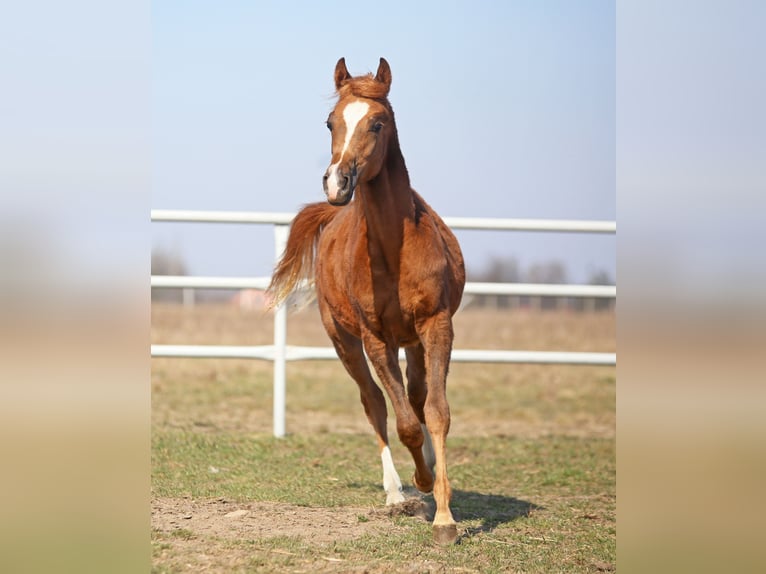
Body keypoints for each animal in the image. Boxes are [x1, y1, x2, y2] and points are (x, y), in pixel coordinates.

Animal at [267, 57, 465, 544]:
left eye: (378, 122)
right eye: (330, 122)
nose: (337, 182)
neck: (394, 248)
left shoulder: (437, 325)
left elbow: (436, 412)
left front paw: (445, 516)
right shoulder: (375, 338)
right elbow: (404, 423)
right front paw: (421, 486)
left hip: (411, 341)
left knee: (415, 395)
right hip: (345, 341)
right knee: (374, 403)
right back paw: (396, 493)